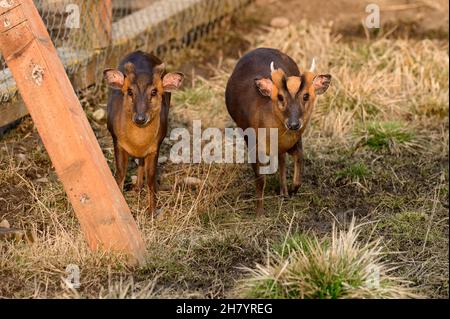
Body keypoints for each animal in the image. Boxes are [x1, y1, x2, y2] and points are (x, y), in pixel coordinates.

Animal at [104, 51, 185, 216]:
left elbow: (151, 179)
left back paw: (138, 187)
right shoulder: (117, 141)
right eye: (129, 91)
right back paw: (136, 187)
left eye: (154, 91)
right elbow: (120, 174)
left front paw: (152, 211)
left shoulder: (155, 147)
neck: (137, 142)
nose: (140, 118)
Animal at [225, 47, 330, 218]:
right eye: (280, 96)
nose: (293, 124)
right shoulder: (254, 144)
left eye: (306, 95)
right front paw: (259, 214)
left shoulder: (296, 141)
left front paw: (292, 190)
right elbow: (260, 179)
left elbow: (299, 162)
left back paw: (284, 192)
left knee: (281, 160)